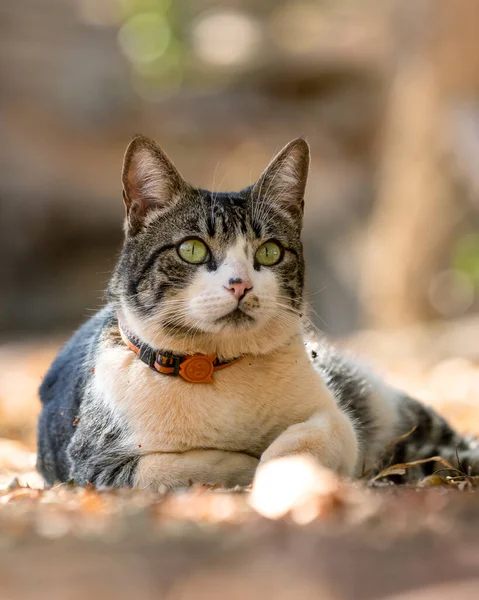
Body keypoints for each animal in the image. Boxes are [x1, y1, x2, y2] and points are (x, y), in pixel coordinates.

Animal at [38, 137, 479, 492]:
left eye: (269, 252)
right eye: (191, 249)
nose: (240, 285)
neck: (213, 367)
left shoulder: (335, 420)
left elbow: (301, 441)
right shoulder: (93, 466)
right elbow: (174, 466)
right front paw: (242, 463)